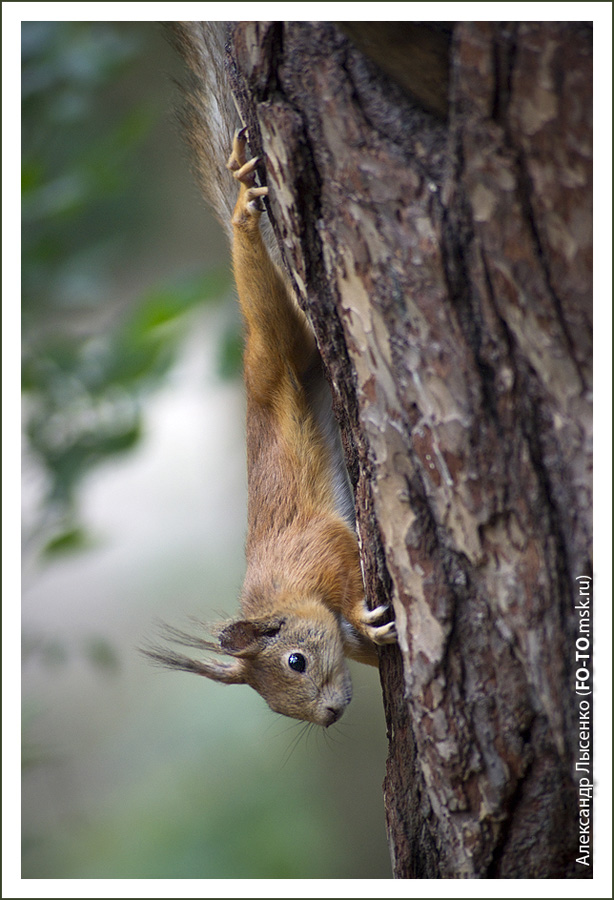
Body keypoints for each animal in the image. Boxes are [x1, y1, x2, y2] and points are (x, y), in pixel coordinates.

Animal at [145, 24, 398, 724]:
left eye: (295, 661)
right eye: (280, 706)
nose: (329, 715)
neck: (281, 591)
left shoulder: (318, 545)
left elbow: (343, 565)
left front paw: (365, 618)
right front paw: (370, 642)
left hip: (269, 345)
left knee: (260, 289)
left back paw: (243, 210)